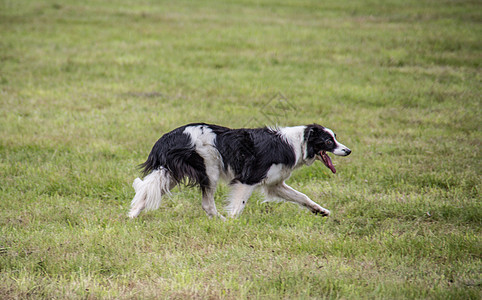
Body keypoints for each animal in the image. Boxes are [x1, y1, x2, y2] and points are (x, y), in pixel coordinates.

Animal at [129, 123, 350, 219]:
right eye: (328, 141)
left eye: (335, 137)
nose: (348, 150)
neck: (297, 142)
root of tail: (167, 137)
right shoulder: (248, 179)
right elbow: (238, 206)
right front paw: (232, 224)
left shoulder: (274, 184)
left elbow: (302, 196)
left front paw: (320, 210)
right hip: (210, 167)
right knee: (207, 204)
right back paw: (221, 221)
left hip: (172, 173)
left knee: (146, 191)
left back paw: (132, 216)